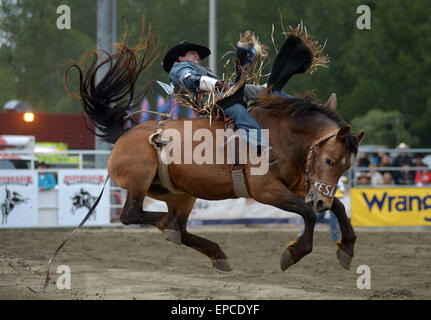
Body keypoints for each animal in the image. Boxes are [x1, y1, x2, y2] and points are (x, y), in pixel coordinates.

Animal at [66, 27, 364, 274]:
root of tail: (124, 135)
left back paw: (214, 252)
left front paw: (347, 247)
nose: (321, 200)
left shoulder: (301, 187)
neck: (283, 133)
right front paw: (294, 253)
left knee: (179, 227)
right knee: (132, 215)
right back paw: (167, 225)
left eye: (347, 166)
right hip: (139, 181)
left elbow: (337, 206)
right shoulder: (267, 190)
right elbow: (309, 213)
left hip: (180, 195)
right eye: (329, 159)